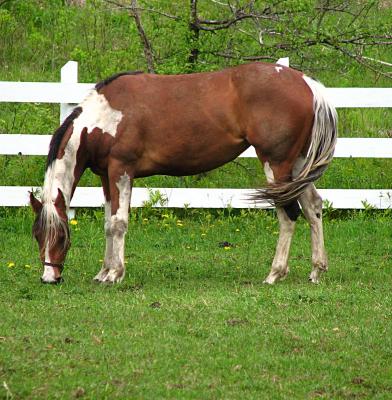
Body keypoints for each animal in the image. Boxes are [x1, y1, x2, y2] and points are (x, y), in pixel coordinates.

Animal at [30, 61, 336, 284]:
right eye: (36, 235)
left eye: (60, 237)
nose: (49, 278)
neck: (104, 117)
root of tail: (306, 83)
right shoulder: (106, 175)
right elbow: (108, 224)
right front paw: (104, 272)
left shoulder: (122, 169)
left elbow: (119, 223)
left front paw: (115, 274)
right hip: (298, 164)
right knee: (313, 206)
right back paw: (316, 270)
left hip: (277, 164)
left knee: (288, 214)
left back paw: (274, 274)